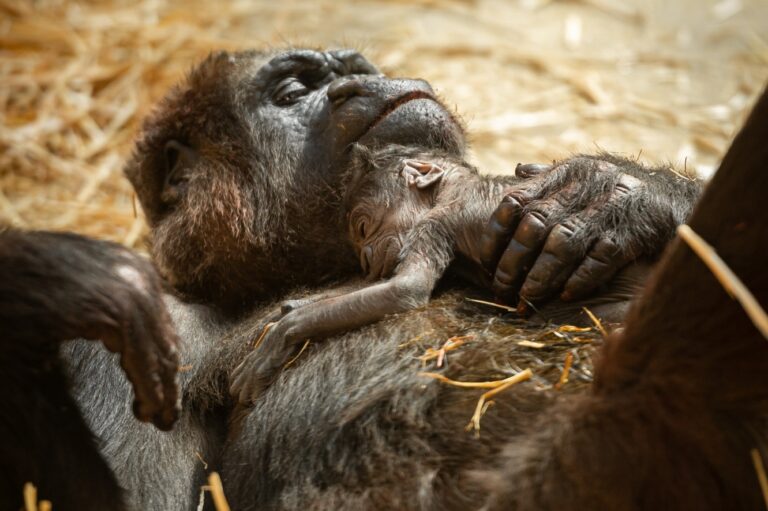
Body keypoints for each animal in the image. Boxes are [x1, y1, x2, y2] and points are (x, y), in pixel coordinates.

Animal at [231, 147, 664, 404]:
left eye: (363, 227)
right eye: (360, 239)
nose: (366, 258)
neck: (449, 190)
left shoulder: (436, 221)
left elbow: (404, 290)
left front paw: (283, 333)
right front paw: (292, 309)